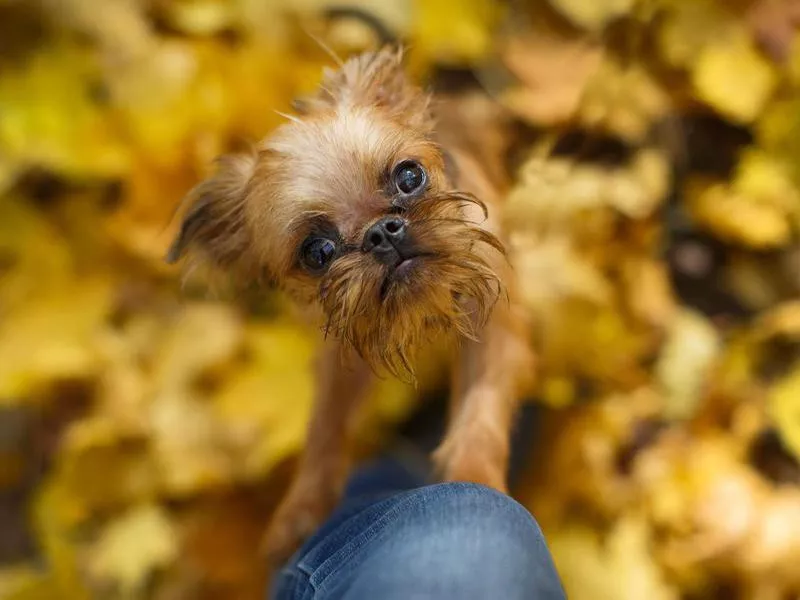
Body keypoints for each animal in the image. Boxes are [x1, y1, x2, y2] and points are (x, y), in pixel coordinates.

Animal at [166, 45, 536, 564]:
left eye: (409, 176)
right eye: (317, 252)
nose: (381, 232)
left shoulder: (494, 328)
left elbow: (480, 412)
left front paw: (474, 477)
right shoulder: (345, 351)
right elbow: (324, 425)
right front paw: (301, 510)